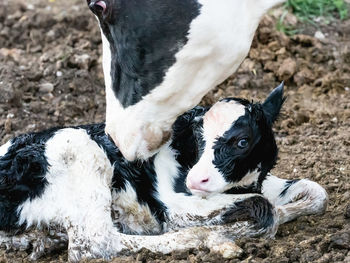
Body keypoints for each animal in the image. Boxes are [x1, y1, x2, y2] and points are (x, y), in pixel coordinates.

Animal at [0, 84, 326, 262]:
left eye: (242, 141)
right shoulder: (175, 203)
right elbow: (265, 208)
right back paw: (205, 237)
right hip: (80, 149)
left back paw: (42, 240)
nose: (195, 179)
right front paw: (238, 228)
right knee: (95, 244)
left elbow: (316, 192)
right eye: (198, 137)